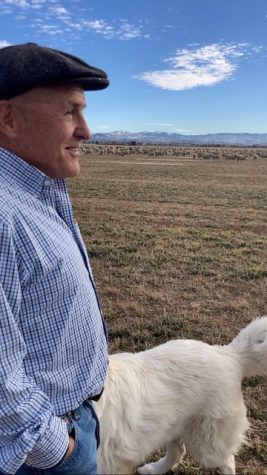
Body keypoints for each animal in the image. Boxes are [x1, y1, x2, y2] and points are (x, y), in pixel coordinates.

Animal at [94, 316, 267, 475]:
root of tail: (229, 354)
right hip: (171, 427)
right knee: (178, 452)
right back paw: (154, 469)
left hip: (208, 446)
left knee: (227, 461)